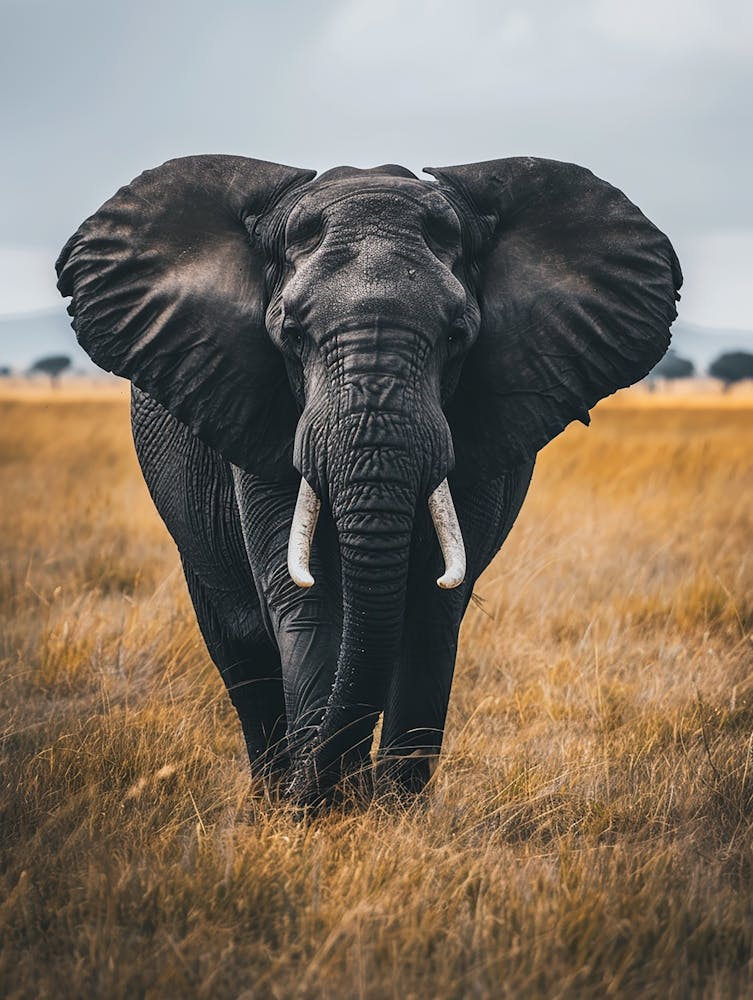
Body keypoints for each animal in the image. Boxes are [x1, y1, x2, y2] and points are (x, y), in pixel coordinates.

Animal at [56, 154, 681, 806]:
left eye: (458, 335)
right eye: (291, 335)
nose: (320, 789)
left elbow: (432, 610)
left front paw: (391, 810)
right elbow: (305, 600)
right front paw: (318, 811)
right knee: (240, 646)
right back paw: (273, 791)